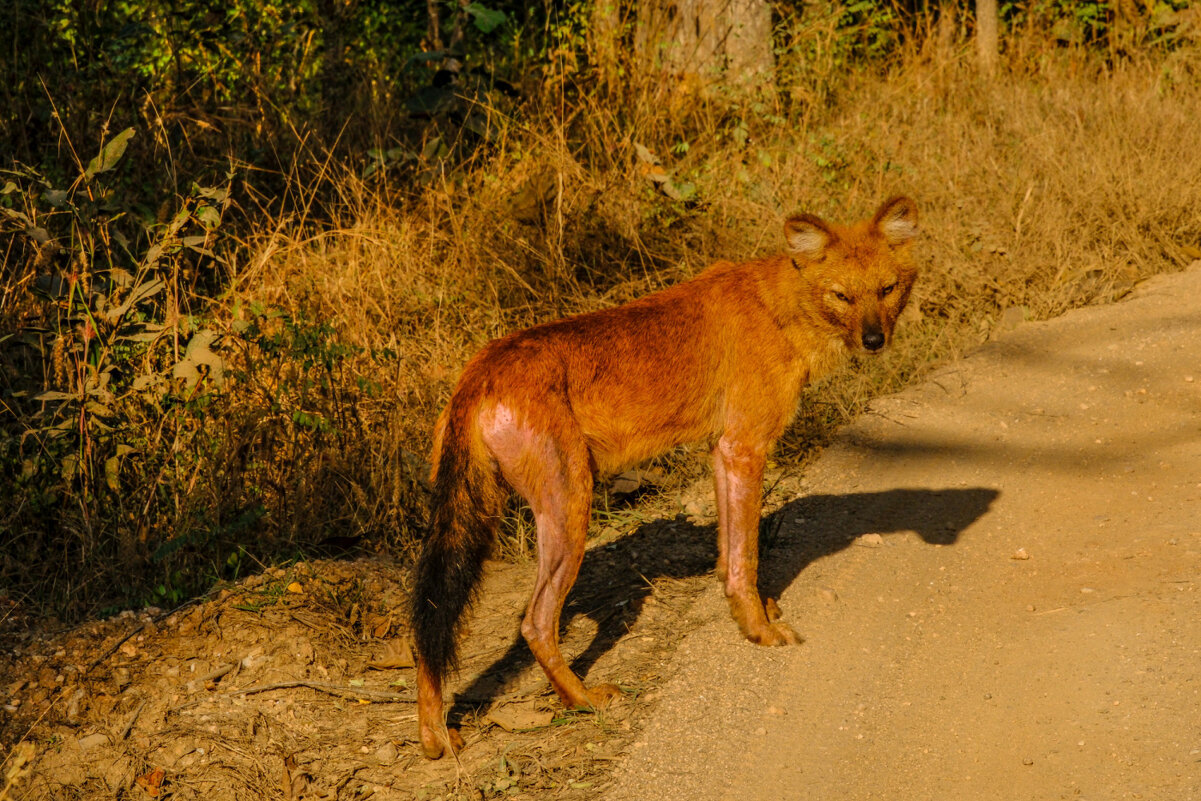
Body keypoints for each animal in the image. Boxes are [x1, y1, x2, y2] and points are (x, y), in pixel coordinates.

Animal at [413, 194, 917, 758]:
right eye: (842, 295)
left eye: (886, 289)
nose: (874, 340)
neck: (780, 309)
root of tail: (477, 371)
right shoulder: (745, 445)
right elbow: (746, 556)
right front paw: (762, 633)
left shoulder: (722, 450)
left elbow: (729, 556)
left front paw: (752, 617)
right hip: (569, 509)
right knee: (534, 621)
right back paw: (583, 700)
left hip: (478, 512)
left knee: (428, 624)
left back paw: (435, 736)